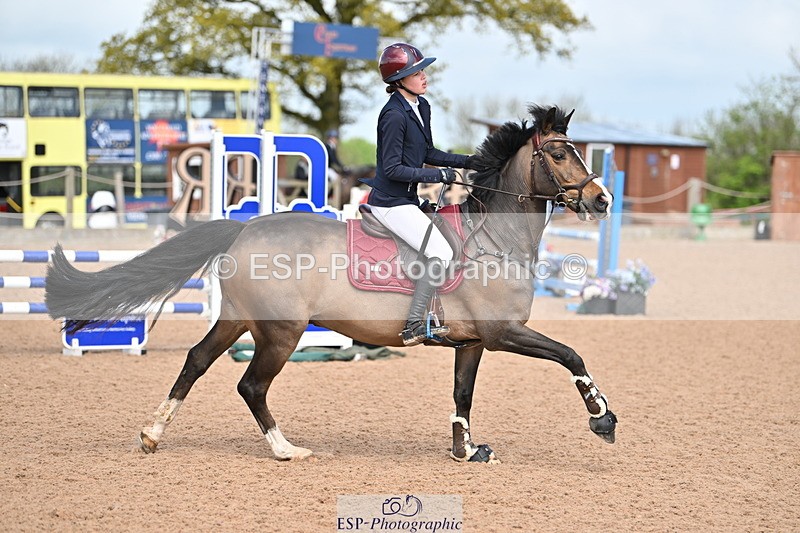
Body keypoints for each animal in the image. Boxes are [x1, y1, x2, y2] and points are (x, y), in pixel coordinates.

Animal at [45, 105, 618, 463]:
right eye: (560, 155)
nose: (602, 199)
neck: (495, 238)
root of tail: (245, 227)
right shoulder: (502, 334)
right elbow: (572, 356)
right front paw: (602, 419)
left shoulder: (474, 342)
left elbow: (463, 394)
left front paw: (465, 451)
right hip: (281, 332)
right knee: (250, 385)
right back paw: (285, 449)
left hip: (238, 319)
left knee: (197, 361)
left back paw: (152, 434)